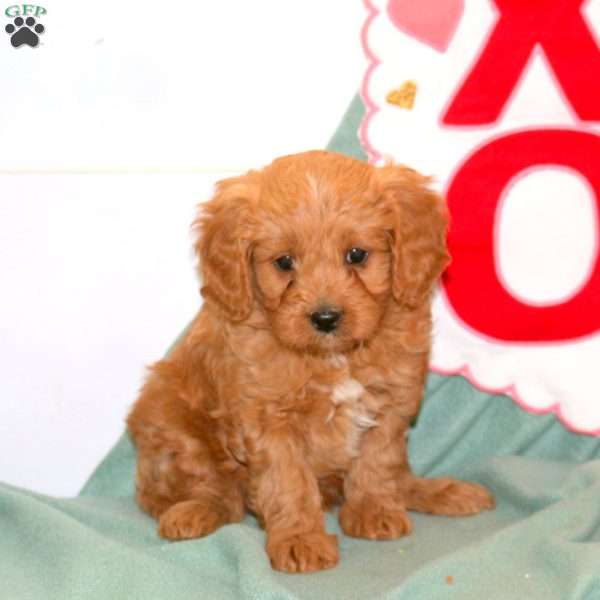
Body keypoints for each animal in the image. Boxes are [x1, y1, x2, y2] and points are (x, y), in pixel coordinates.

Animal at [126, 150, 492, 572]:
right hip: (171, 419)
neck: (333, 356)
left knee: (399, 475)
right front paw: (300, 539)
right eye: (284, 262)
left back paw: (443, 492)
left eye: (356, 255)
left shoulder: (391, 403)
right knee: (217, 493)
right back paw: (193, 512)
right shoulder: (268, 420)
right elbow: (288, 482)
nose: (326, 317)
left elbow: (378, 461)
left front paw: (372, 511)